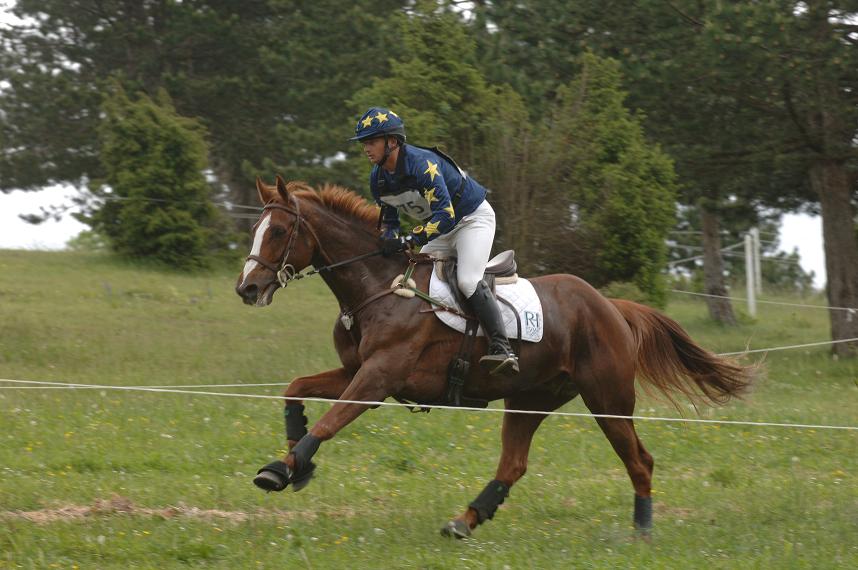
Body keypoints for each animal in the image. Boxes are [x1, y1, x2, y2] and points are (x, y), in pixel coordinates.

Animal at [234, 175, 748, 536]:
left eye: (279, 231)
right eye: (256, 229)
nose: (247, 289)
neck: (379, 286)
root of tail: (610, 306)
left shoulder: (378, 377)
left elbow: (329, 421)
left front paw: (280, 470)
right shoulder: (354, 370)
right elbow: (295, 391)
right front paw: (296, 466)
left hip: (608, 398)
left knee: (640, 461)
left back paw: (641, 531)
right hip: (530, 399)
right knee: (513, 464)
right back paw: (465, 520)